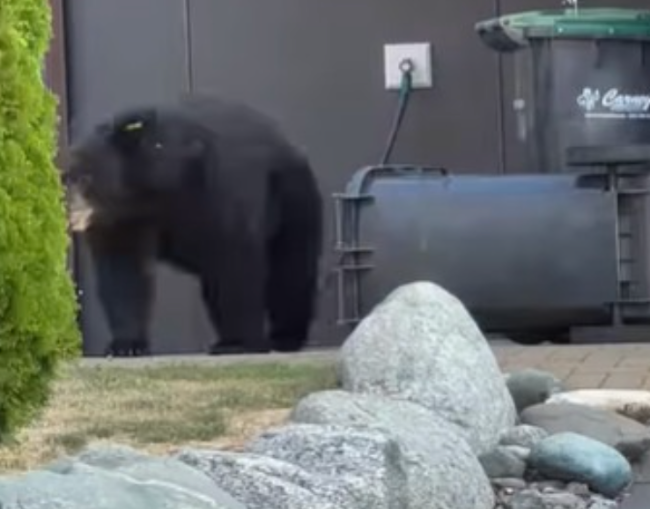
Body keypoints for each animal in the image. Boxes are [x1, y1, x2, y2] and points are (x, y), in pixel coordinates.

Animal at [65, 94, 324, 357]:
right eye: (64, 178)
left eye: (84, 178)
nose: (71, 213)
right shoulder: (122, 220)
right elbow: (123, 270)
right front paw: (126, 345)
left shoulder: (218, 185)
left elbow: (237, 257)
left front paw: (243, 342)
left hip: (292, 199)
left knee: (290, 271)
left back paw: (283, 337)